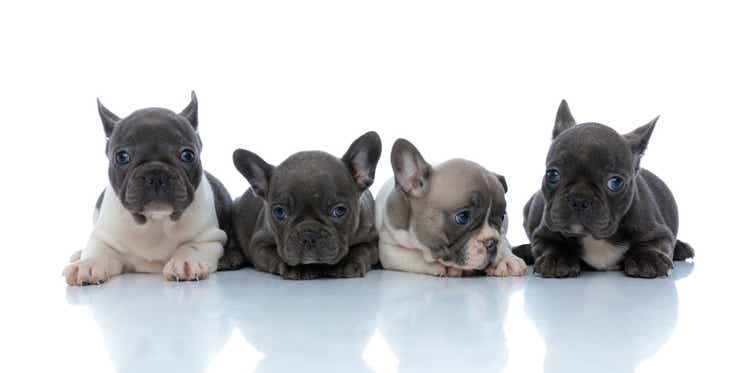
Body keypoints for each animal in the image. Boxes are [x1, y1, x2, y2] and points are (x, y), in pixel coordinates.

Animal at [64, 92, 232, 284]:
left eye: (188, 155)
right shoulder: (103, 237)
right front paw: (87, 264)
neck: (156, 220)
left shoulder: (210, 238)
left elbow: (191, 246)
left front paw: (185, 261)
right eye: (122, 157)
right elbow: (97, 250)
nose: (156, 175)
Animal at [376, 139, 528, 276]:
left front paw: (507, 259)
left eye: (502, 217)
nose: (492, 242)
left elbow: (504, 241)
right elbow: (413, 257)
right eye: (463, 217)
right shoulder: (388, 250)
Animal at [520, 100, 696, 278]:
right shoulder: (543, 232)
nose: (579, 199)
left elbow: (654, 243)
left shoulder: (659, 231)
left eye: (615, 182)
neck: (595, 239)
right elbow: (549, 244)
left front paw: (648, 259)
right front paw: (557, 259)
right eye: (552, 174)